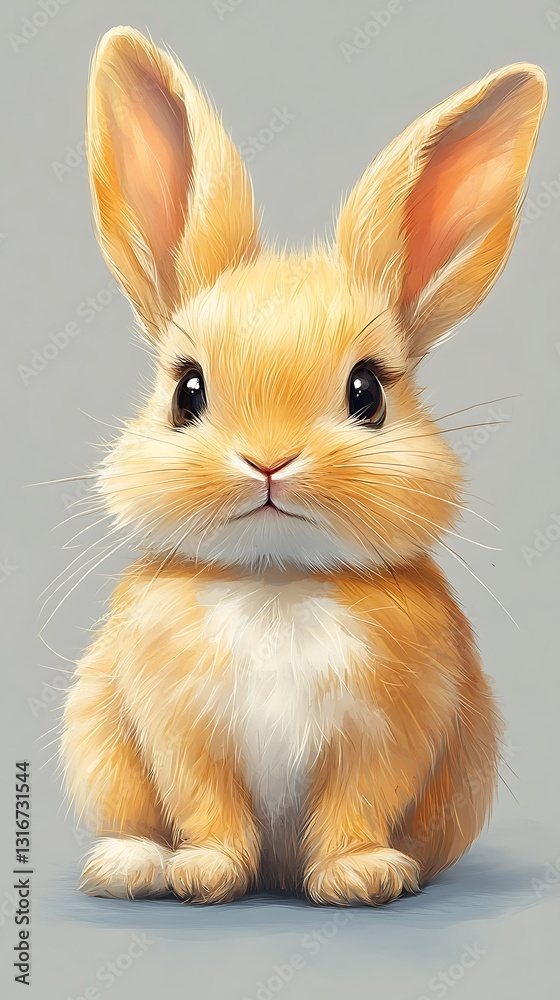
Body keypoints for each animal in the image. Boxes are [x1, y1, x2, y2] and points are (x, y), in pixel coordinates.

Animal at [61, 26, 547, 905]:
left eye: (368, 392)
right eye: (186, 390)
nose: (269, 461)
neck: (276, 579)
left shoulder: (384, 736)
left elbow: (357, 804)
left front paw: (360, 878)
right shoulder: (182, 735)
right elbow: (208, 807)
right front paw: (204, 875)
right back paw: (127, 866)